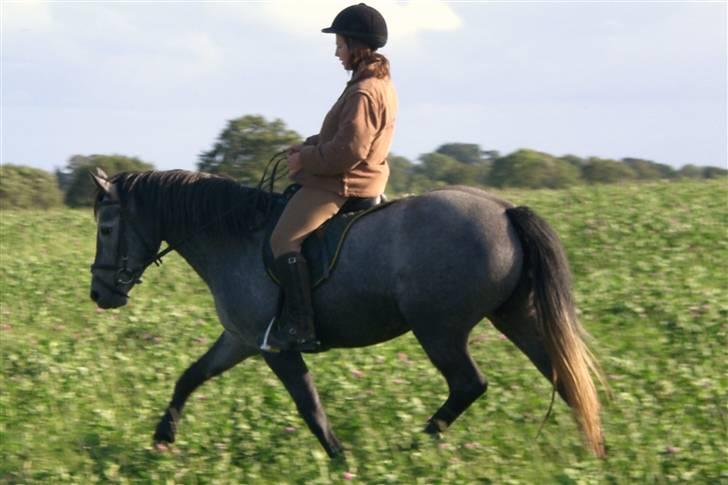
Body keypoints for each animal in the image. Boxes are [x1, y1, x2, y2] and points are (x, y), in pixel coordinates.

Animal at [88, 169, 604, 458]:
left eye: (107, 227)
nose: (99, 294)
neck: (233, 236)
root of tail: (504, 211)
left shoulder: (275, 347)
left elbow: (310, 406)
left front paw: (341, 459)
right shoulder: (241, 339)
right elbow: (190, 377)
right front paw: (163, 438)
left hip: (439, 330)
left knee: (469, 384)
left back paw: (412, 445)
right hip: (514, 316)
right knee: (564, 375)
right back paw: (595, 451)